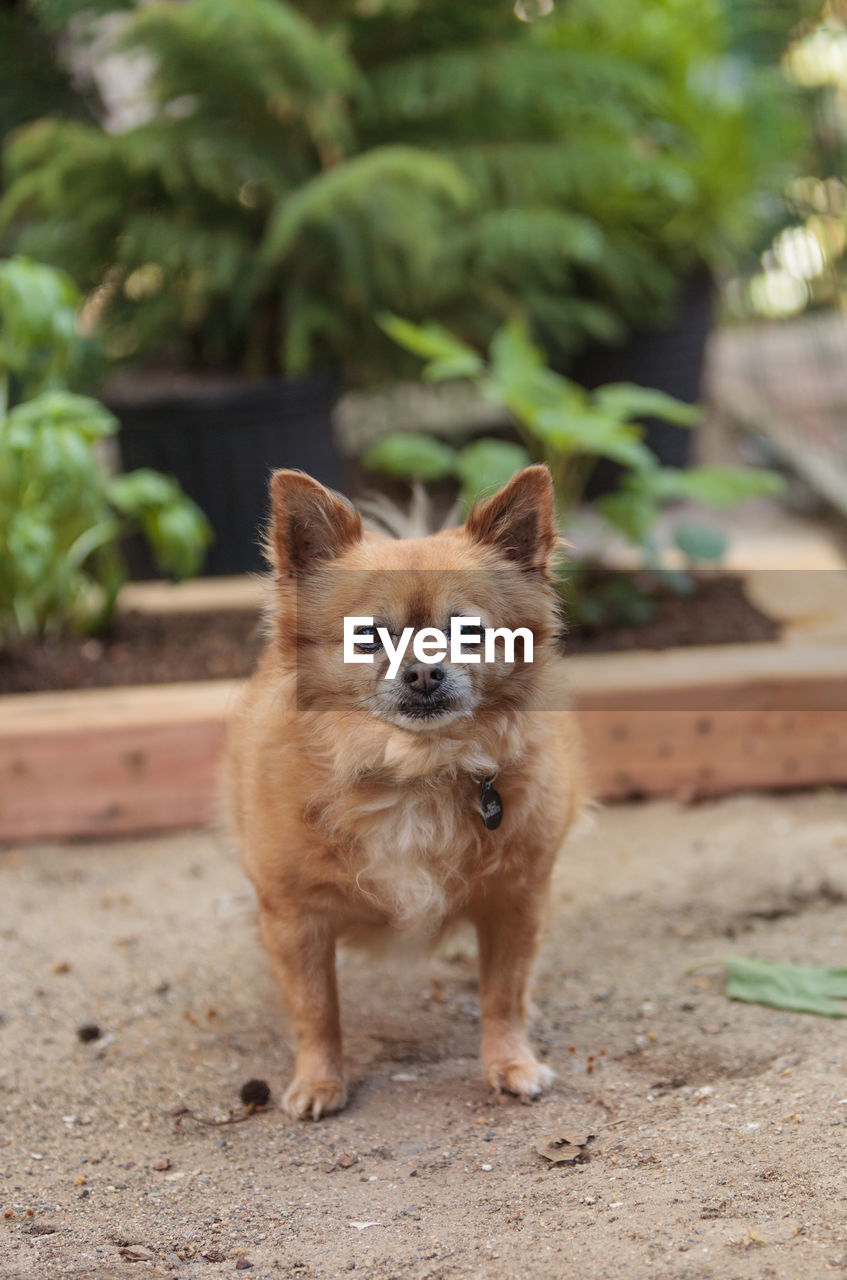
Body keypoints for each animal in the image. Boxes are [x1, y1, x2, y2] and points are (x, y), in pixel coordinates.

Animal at [222, 465, 588, 1116]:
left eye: (468, 632)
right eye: (368, 635)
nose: (422, 672)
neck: (416, 770)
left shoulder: (516, 901)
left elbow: (504, 992)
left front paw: (510, 1062)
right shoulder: (295, 915)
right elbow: (316, 1007)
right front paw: (319, 1080)